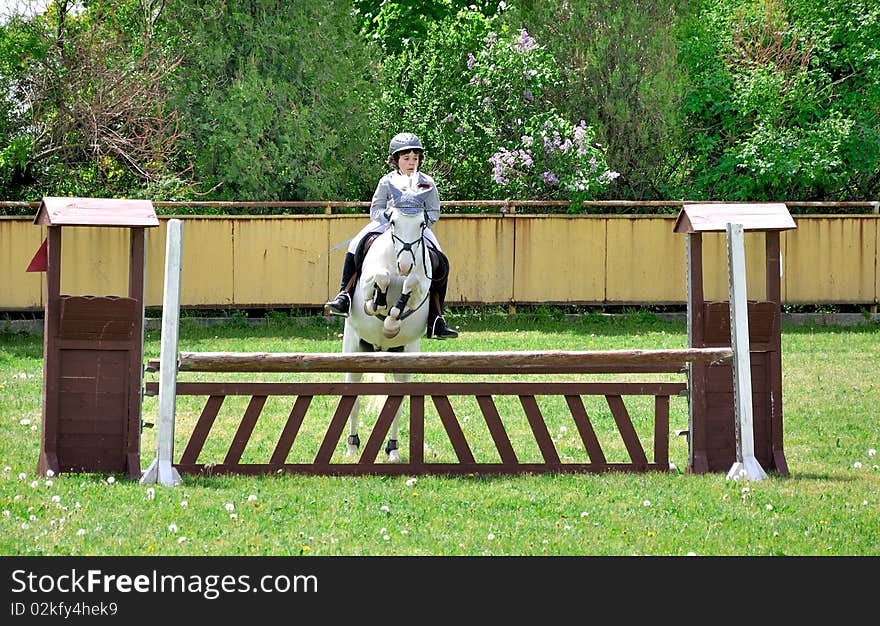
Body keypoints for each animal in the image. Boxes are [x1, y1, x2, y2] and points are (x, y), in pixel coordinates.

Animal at [340, 205, 434, 458]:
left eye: (422, 224)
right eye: (392, 222)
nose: (404, 265)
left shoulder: (420, 287)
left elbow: (412, 283)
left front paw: (392, 320)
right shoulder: (369, 280)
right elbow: (379, 278)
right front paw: (376, 304)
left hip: (404, 355)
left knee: (397, 405)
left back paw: (393, 450)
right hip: (354, 349)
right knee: (353, 401)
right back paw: (352, 448)